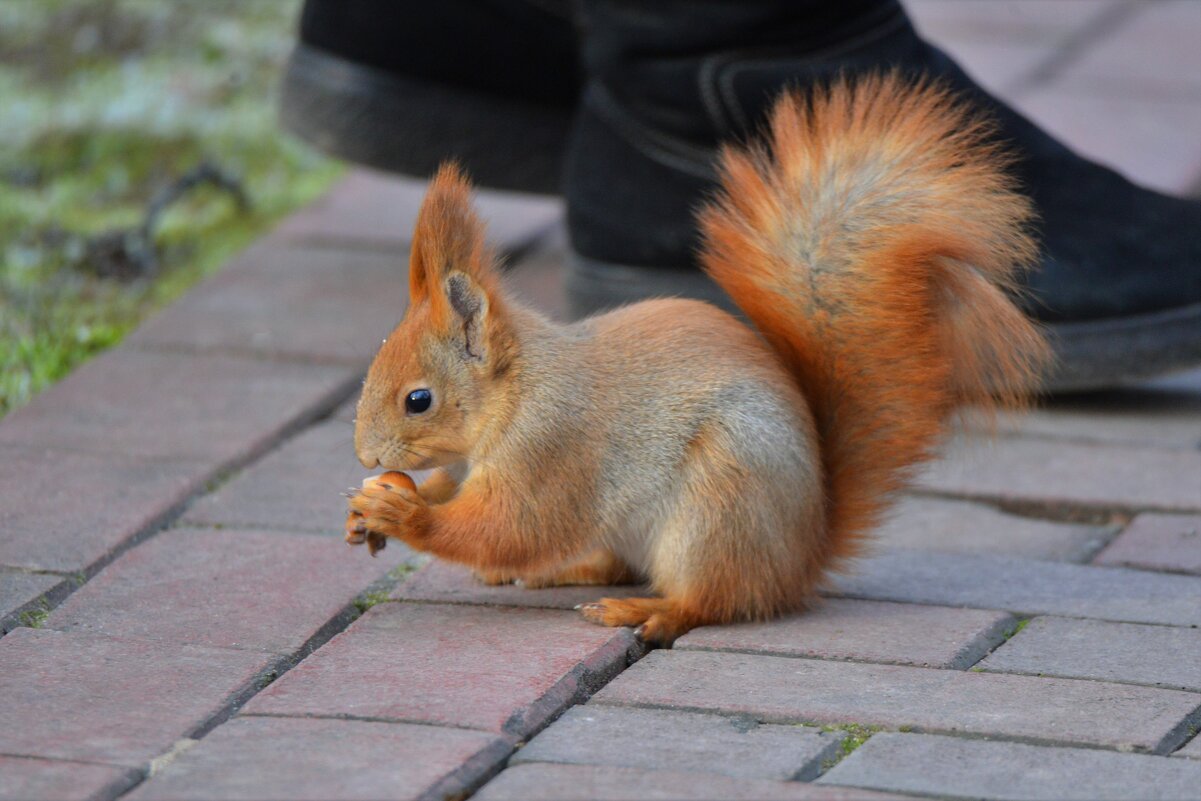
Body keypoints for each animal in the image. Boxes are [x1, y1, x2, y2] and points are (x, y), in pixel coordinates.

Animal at [343, 76, 1047, 643]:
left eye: (418, 399)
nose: (368, 457)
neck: (515, 394)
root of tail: (802, 556)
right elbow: (456, 492)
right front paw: (372, 505)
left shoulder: (552, 450)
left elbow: (510, 526)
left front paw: (404, 513)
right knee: (621, 565)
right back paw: (564, 573)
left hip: (720, 504)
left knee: (713, 600)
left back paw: (646, 612)